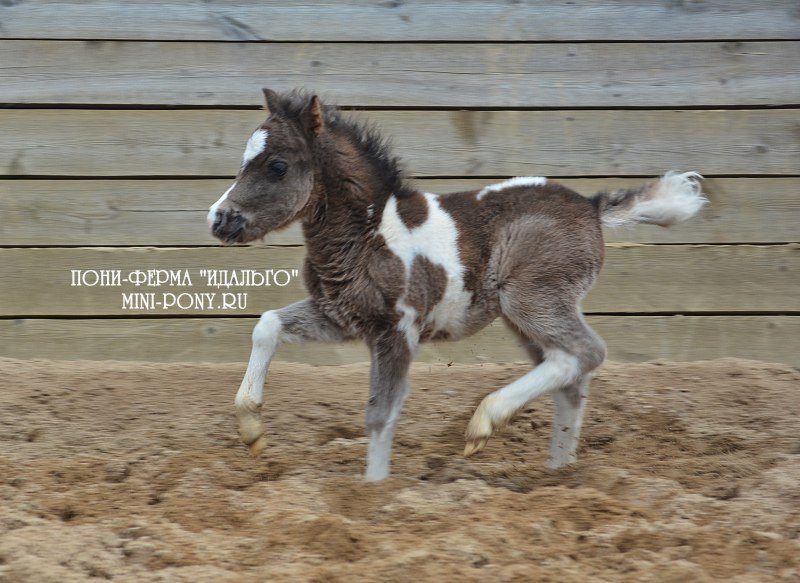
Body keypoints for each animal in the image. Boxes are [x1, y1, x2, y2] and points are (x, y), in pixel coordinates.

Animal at [208, 91, 708, 482]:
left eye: (277, 166)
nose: (219, 219)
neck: (370, 233)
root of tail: (590, 205)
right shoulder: (342, 316)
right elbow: (267, 325)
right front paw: (252, 431)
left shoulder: (397, 330)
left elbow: (380, 414)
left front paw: (371, 493)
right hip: (526, 314)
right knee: (571, 372)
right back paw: (558, 473)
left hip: (532, 301)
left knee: (586, 353)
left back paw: (485, 422)